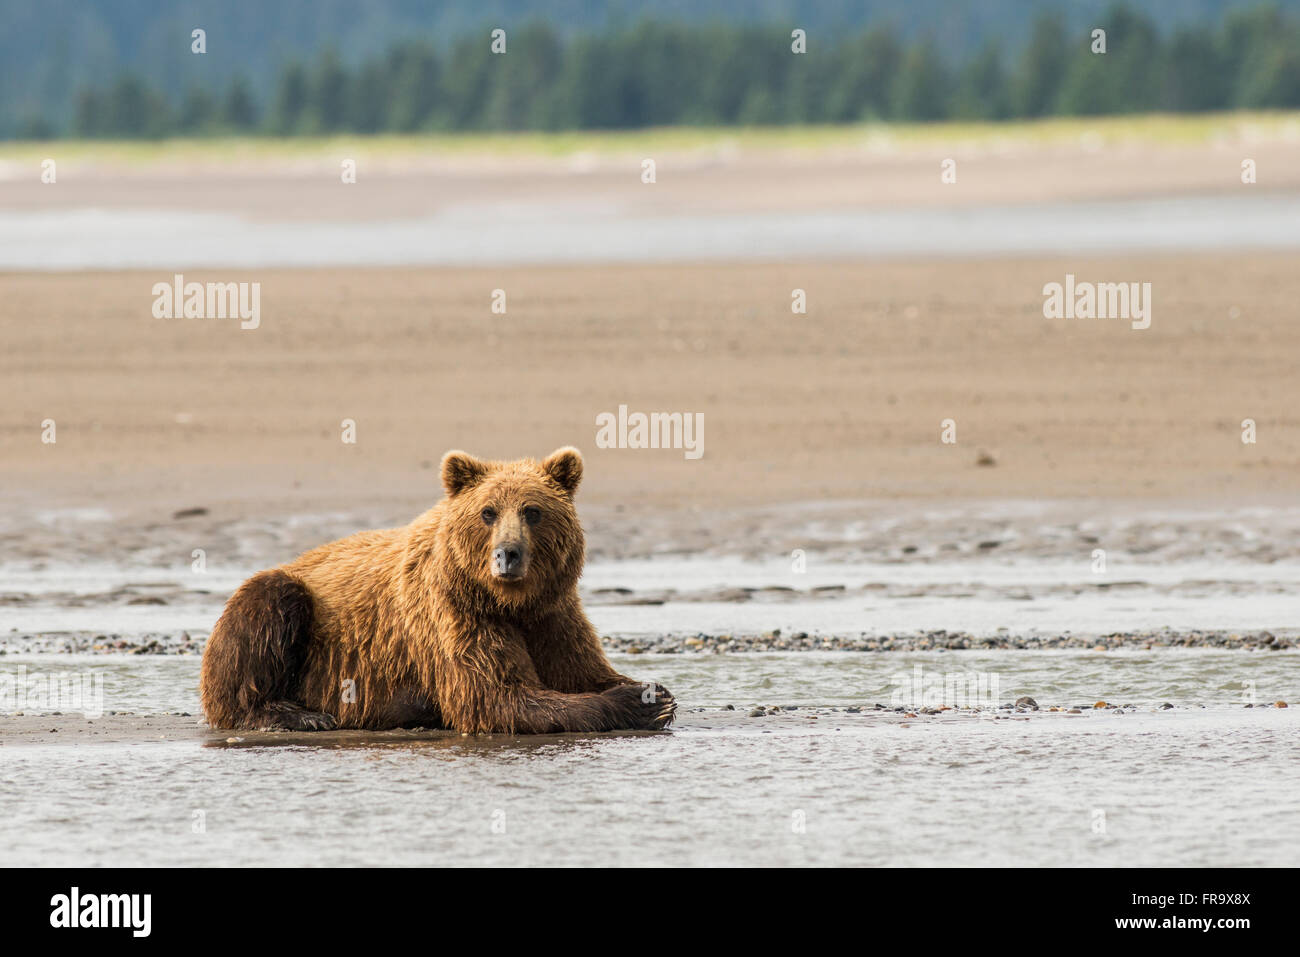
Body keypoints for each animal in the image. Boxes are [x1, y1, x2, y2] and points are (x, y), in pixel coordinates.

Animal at [200, 447, 681, 733]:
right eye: (488, 512)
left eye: (533, 510)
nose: (508, 554)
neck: (509, 602)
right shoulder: (453, 612)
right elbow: (495, 696)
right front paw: (637, 703)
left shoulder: (552, 613)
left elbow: (580, 667)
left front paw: (653, 691)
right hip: (291, 604)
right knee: (267, 608)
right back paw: (298, 715)